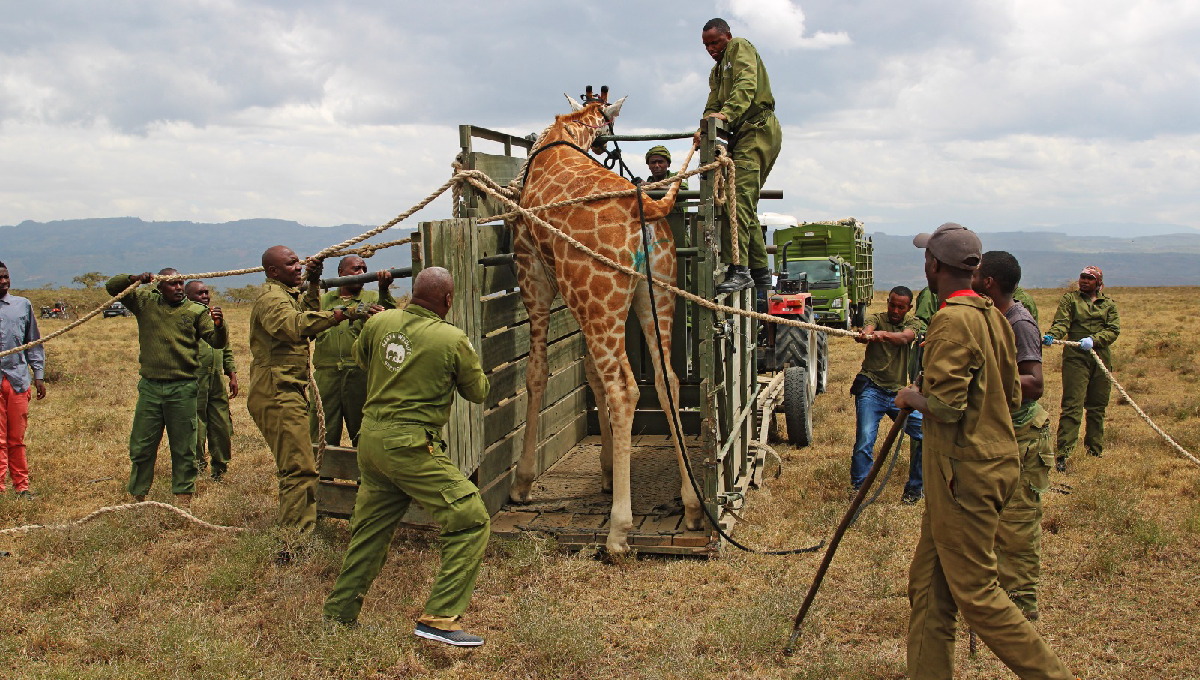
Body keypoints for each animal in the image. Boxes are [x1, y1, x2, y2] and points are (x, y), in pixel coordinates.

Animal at [507, 93, 704, 554]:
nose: (603, 145)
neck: (558, 139)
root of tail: (651, 205)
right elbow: (589, 374)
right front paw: (608, 470)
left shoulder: (533, 272)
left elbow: (537, 372)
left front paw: (522, 482)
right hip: (656, 294)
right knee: (666, 380)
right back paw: (691, 505)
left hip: (597, 295)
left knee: (625, 389)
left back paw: (618, 530)